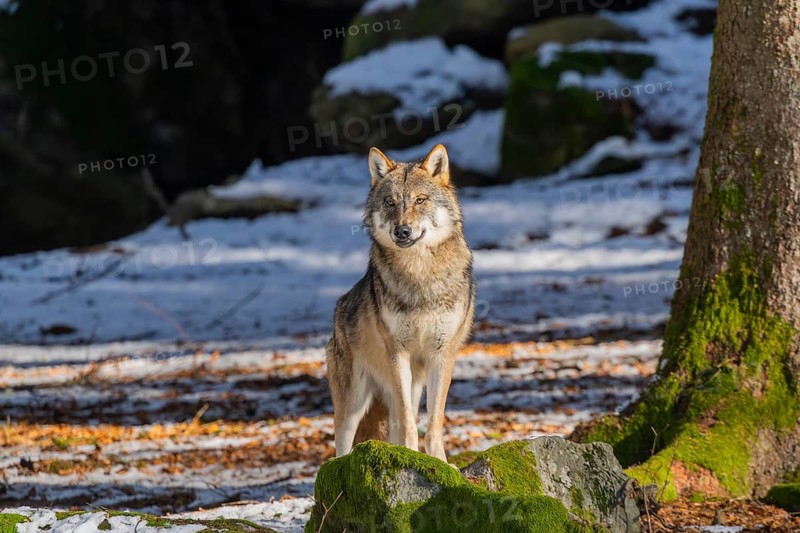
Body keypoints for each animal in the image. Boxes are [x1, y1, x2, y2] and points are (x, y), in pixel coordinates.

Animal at [326, 143, 475, 463]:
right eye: (390, 202)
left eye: (420, 200)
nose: (402, 231)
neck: (419, 275)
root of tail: (339, 305)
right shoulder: (398, 353)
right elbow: (409, 423)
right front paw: (412, 455)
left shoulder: (442, 355)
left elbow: (433, 422)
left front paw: (440, 463)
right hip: (353, 404)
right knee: (340, 449)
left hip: (409, 387)